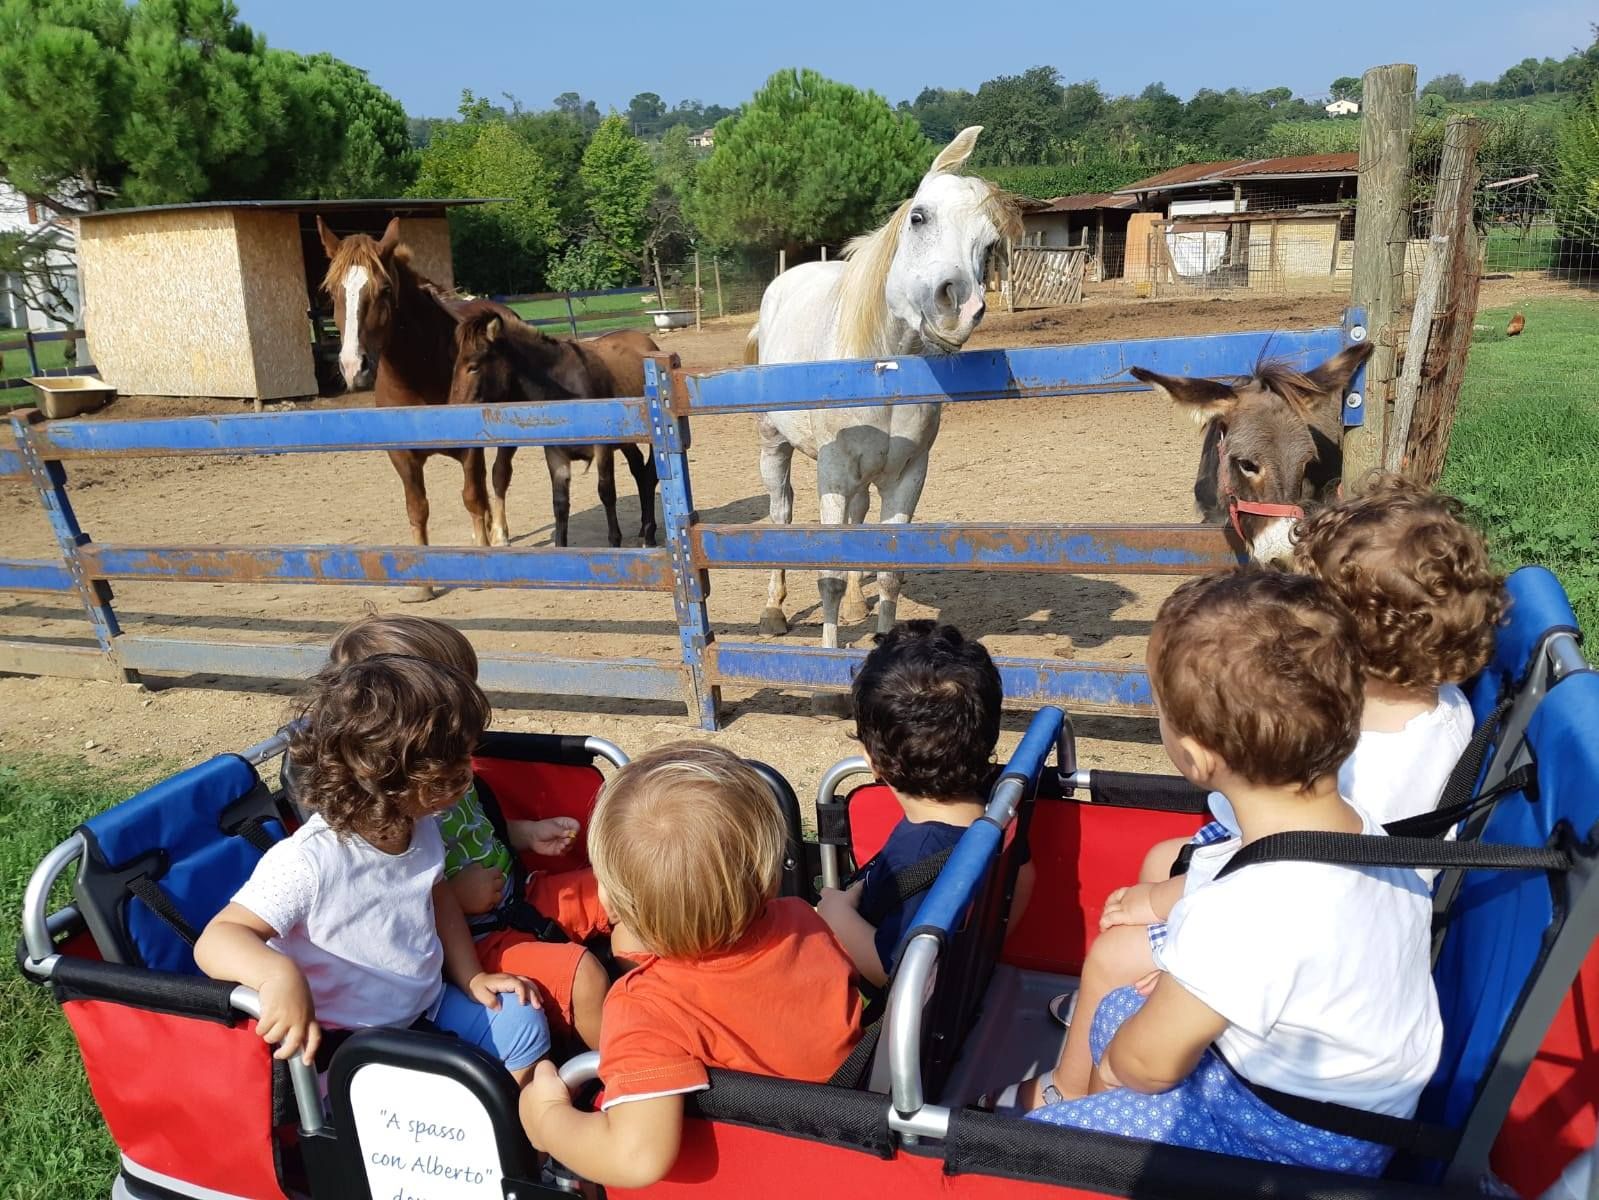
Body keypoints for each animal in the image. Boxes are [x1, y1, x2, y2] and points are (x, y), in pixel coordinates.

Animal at [317, 216, 519, 601]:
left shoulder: (469, 446)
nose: (353, 366)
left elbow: (473, 497)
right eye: (332, 291)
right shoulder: (402, 455)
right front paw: (423, 585)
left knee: (498, 479)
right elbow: (418, 509)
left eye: (383, 289)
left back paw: (498, 535)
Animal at [448, 312, 659, 549]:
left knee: (650, 475)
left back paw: (649, 534)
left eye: (473, 366)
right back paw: (643, 527)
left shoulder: (602, 448)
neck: (563, 391)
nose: (451, 409)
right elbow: (560, 504)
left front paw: (614, 543)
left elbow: (607, 493)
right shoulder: (555, 453)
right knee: (639, 470)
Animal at [747, 126, 1022, 649]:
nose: (957, 305)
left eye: (989, 244)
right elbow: (830, 576)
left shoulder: (907, 475)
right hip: (775, 445)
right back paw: (773, 611)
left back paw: (857, 601)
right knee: (780, 512)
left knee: (858, 521)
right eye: (918, 217)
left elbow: (890, 571)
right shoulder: (833, 473)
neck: (881, 369)